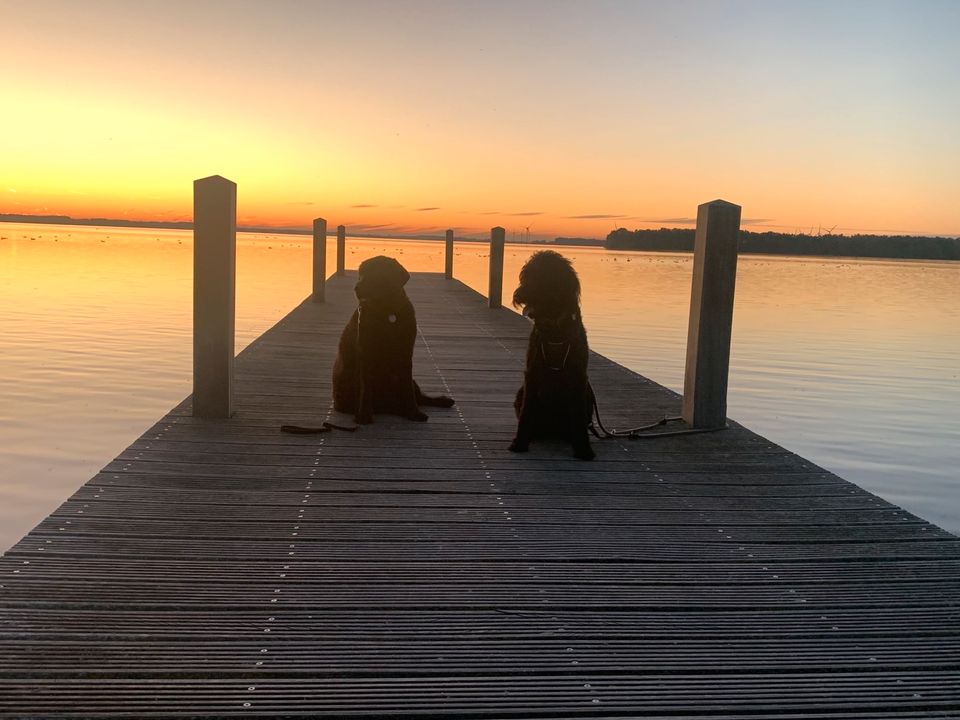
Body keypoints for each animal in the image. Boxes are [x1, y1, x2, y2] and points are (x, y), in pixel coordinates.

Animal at [332, 256, 456, 424]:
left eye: (376, 273)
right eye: (361, 273)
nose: (356, 288)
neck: (388, 311)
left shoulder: (406, 352)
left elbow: (407, 389)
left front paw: (414, 413)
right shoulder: (366, 353)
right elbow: (366, 387)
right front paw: (364, 415)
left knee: (419, 396)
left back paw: (441, 400)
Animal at [510, 250, 592, 458]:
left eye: (541, 276)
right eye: (525, 276)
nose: (519, 294)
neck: (554, 328)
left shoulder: (579, 376)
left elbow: (578, 415)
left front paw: (584, 448)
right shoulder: (532, 373)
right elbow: (527, 411)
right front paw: (520, 442)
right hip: (521, 392)